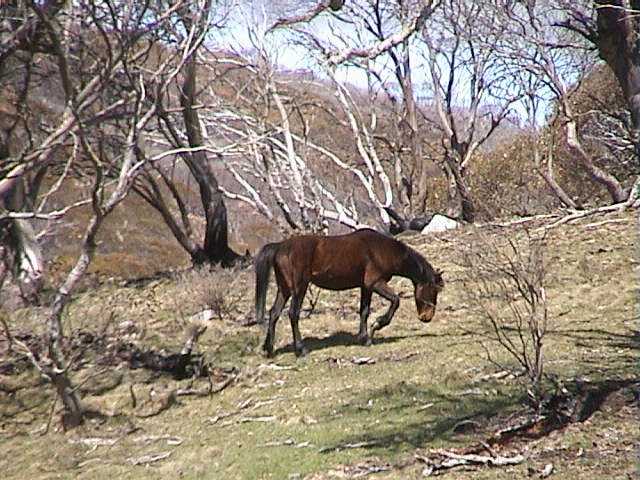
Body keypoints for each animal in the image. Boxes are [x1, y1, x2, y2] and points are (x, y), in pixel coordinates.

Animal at [252, 229, 442, 356]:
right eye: (433, 291)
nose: (427, 317)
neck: (381, 250)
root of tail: (280, 246)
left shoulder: (366, 287)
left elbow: (364, 311)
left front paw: (365, 338)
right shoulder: (375, 283)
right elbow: (395, 301)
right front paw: (377, 325)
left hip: (284, 289)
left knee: (274, 313)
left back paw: (268, 349)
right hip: (299, 287)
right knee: (293, 314)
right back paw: (301, 349)